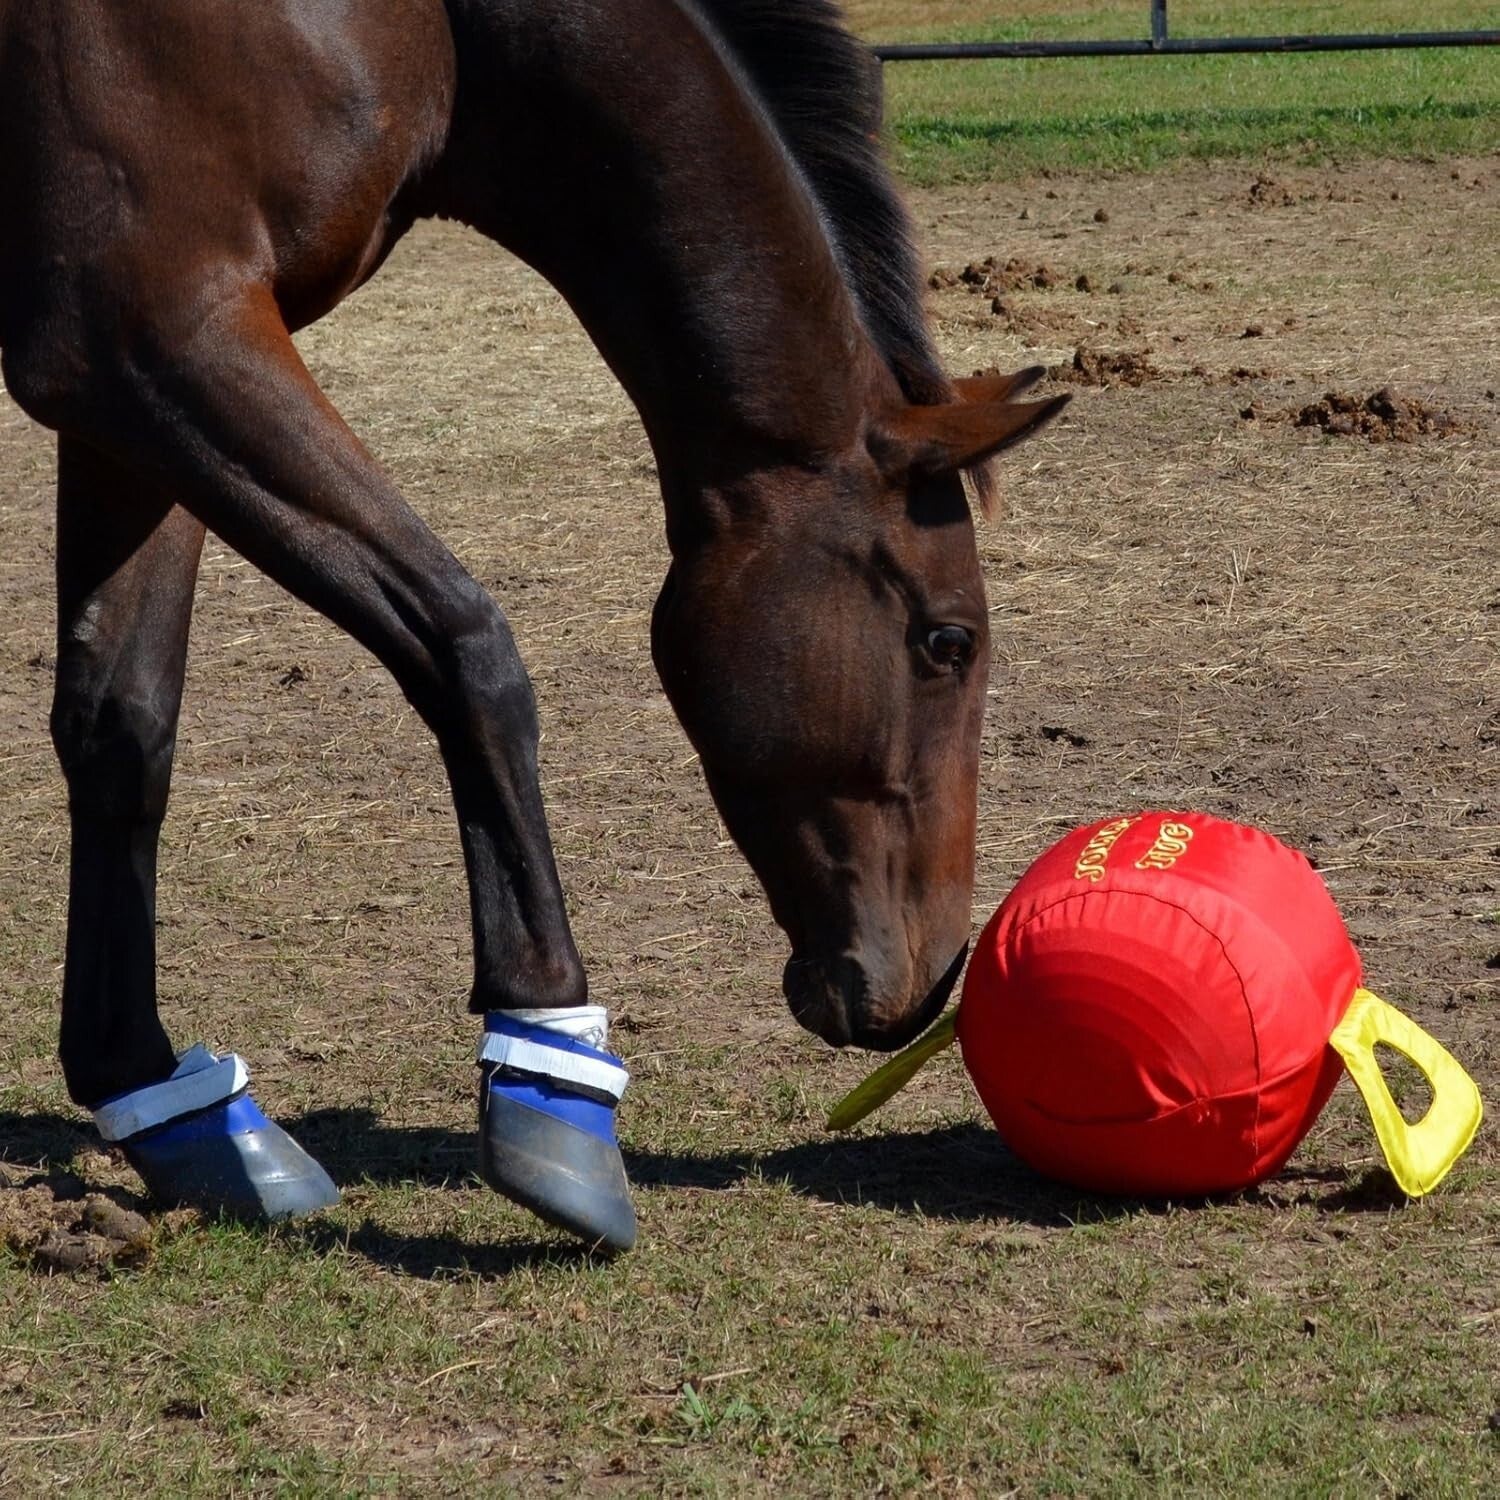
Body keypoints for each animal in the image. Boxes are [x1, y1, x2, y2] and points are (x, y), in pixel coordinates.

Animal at [0, 0, 1066, 1250]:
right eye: (947, 643)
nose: (934, 978)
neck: (442, 33)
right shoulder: (150, 329)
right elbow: (469, 652)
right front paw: (550, 1071)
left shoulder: (128, 388)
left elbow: (121, 727)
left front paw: (164, 1103)